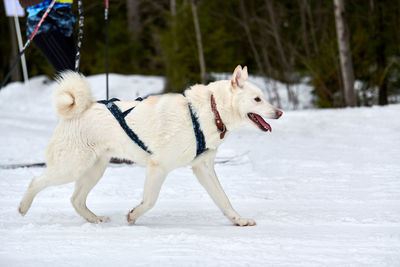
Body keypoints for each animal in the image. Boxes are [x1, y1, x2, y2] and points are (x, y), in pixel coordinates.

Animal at [18, 66, 282, 227]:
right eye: (257, 99)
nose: (279, 112)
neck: (210, 110)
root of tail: (79, 108)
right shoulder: (159, 167)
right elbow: (150, 201)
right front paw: (133, 215)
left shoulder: (203, 168)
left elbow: (224, 200)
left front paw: (239, 220)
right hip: (71, 167)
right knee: (35, 181)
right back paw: (22, 207)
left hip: (94, 170)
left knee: (76, 199)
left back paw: (95, 220)